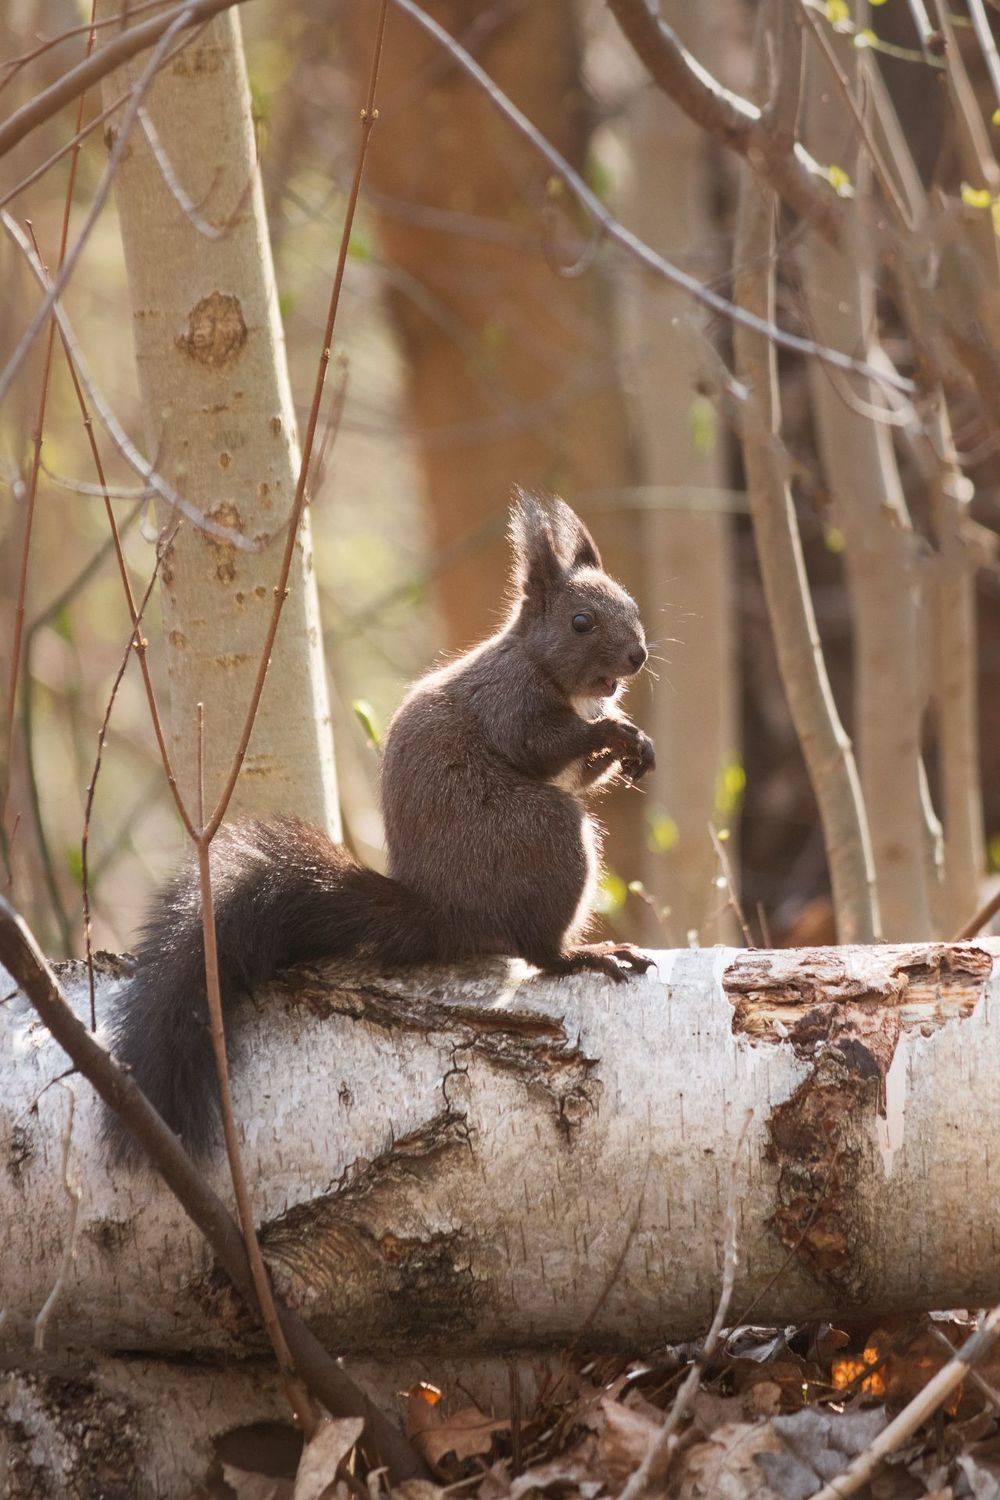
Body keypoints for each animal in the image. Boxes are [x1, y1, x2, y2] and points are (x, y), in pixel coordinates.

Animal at [103, 490, 656, 1165]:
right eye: (581, 622)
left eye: (632, 607)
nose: (637, 657)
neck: (537, 662)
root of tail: (445, 912)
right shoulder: (510, 704)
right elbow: (543, 747)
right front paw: (614, 732)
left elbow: (583, 769)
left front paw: (634, 745)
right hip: (548, 838)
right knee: (536, 949)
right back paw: (581, 955)